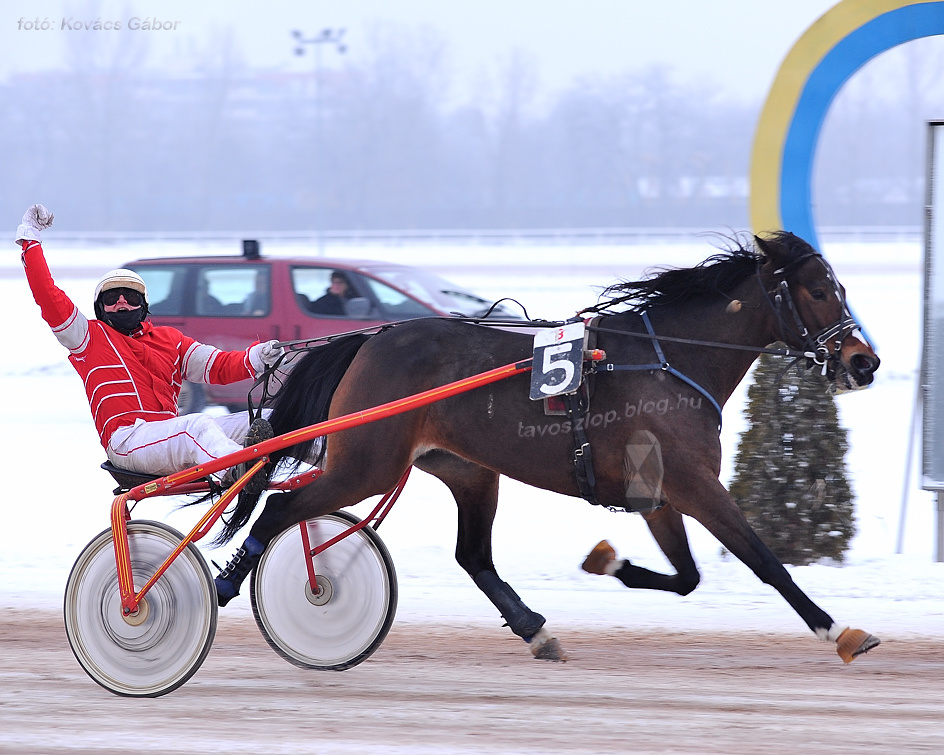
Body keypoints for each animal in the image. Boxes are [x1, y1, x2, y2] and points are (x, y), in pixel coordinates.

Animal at [218, 233, 880, 664]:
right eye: (818, 290)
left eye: (840, 286)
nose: (863, 362)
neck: (669, 360)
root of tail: (370, 340)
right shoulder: (694, 484)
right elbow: (764, 560)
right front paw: (838, 630)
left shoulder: (661, 493)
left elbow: (688, 577)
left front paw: (607, 561)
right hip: (366, 464)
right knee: (278, 510)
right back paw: (226, 589)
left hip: (468, 471)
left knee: (473, 556)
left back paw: (535, 630)